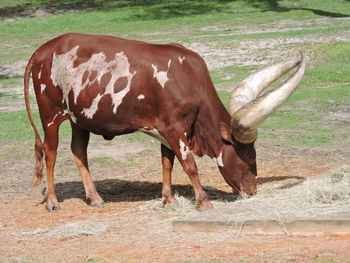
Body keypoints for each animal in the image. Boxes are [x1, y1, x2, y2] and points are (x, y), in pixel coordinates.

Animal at [23, 33, 304, 212]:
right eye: (249, 155)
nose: (252, 190)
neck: (190, 82)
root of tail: (41, 50)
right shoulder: (174, 129)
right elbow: (190, 166)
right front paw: (203, 201)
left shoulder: (165, 130)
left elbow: (167, 163)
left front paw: (169, 200)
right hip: (50, 115)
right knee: (50, 153)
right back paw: (52, 201)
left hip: (80, 119)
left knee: (79, 151)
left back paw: (94, 198)